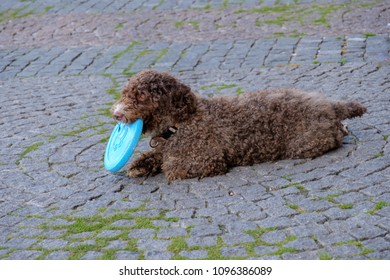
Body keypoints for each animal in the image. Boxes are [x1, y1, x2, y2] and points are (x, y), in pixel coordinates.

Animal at [111, 69, 368, 180]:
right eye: (125, 93)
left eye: (141, 96)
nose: (116, 114)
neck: (179, 124)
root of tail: (329, 105)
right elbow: (152, 156)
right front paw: (141, 164)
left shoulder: (207, 160)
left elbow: (171, 166)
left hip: (305, 144)